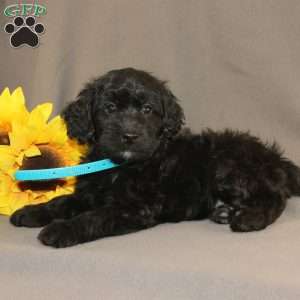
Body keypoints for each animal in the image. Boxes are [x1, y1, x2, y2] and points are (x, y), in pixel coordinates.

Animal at [10, 68, 300, 248]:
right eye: (109, 108)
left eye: (148, 110)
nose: (129, 135)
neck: (120, 167)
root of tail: (274, 158)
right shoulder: (88, 193)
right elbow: (62, 202)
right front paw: (31, 211)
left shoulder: (135, 207)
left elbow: (93, 217)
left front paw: (61, 230)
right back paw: (226, 212)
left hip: (229, 167)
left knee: (275, 198)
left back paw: (248, 219)